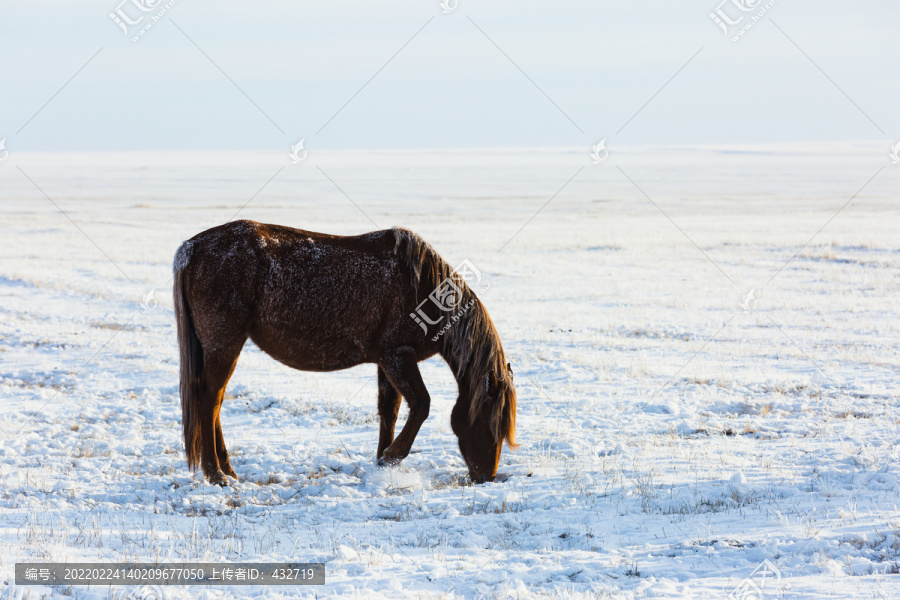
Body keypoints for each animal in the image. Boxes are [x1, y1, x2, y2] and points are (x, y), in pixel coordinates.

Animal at [172, 218, 516, 486]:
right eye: (491, 420)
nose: (486, 476)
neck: (423, 289)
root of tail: (192, 248)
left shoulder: (385, 362)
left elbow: (389, 412)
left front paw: (382, 462)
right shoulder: (398, 356)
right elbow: (421, 405)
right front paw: (392, 456)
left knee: (214, 402)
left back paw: (228, 469)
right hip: (225, 344)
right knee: (210, 400)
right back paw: (216, 473)